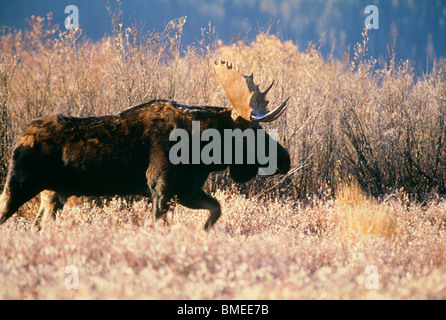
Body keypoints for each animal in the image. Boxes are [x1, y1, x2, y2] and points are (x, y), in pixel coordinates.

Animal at [0, 60, 290, 230]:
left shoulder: (186, 191)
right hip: (19, 184)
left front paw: (204, 232)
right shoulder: (162, 189)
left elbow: (216, 210)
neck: (203, 151)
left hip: (50, 196)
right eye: (252, 131)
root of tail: (21, 135)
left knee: (37, 225)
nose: (285, 159)